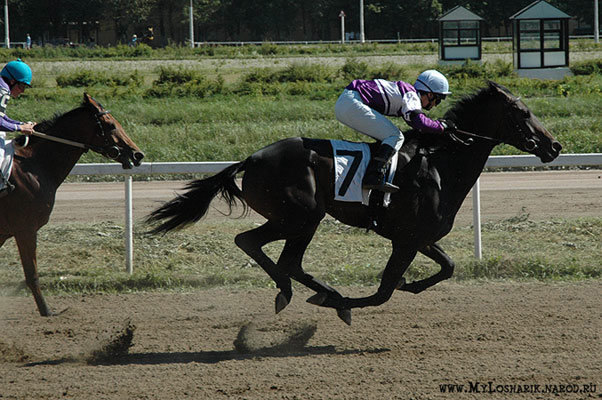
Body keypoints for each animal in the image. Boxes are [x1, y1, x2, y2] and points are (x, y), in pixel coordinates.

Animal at [0, 94, 143, 316]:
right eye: (110, 124)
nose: (138, 154)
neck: (34, 166)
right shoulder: (25, 229)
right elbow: (32, 274)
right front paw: (47, 311)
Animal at [148, 81, 560, 324]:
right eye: (522, 114)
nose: (554, 146)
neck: (441, 163)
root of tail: (251, 158)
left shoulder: (418, 237)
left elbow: (448, 266)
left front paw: (410, 285)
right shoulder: (406, 240)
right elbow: (383, 292)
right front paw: (348, 304)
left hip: (294, 219)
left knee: (271, 253)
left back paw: (302, 291)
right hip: (302, 217)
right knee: (266, 250)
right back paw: (311, 294)